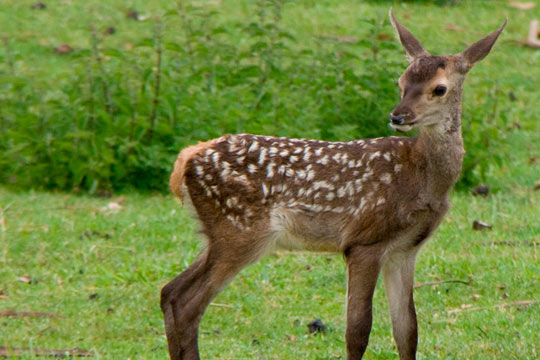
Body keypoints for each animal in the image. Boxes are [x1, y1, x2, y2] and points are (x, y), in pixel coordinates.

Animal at [160, 10, 506, 360]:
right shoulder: (363, 241)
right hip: (239, 229)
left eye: (439, 89)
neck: (423, 179)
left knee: (170, 292)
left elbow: (408, 330)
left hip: (219, 234)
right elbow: (358, 331)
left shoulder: (405, 249)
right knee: (187, 302)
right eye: (401, 82)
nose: (398, 116)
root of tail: (185, 159)